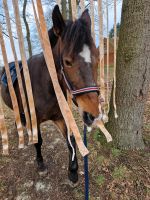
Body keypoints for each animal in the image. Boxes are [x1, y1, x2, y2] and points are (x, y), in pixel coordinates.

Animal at [1, 5, 100, 184]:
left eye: (97, 58)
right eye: (67, 61)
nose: (93, 113)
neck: (45, 86)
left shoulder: (60, 116)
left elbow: (71, 140)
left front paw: (73, 172)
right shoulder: (35, 119)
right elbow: (38, 141)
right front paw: (40, 164)